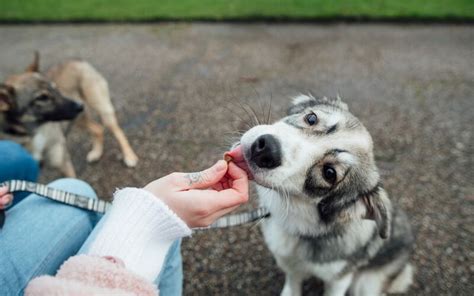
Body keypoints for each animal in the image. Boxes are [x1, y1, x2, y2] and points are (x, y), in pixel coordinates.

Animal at [1, 53, 138, 176]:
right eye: (41, 98)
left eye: (55, 88)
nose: (79, 105)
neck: (34, 131)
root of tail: (76, 60)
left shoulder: (61, 160)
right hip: (78, 119)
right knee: (98, 129)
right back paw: (96, 153)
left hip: (100, 107)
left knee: (116, 131)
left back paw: (129, 156)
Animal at [231, 95, 414, 296]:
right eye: (311, 118)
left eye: (329, 173)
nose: (265, 149)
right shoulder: (288, 262)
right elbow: (292, 282)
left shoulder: (339, 279)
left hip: (365, 284)